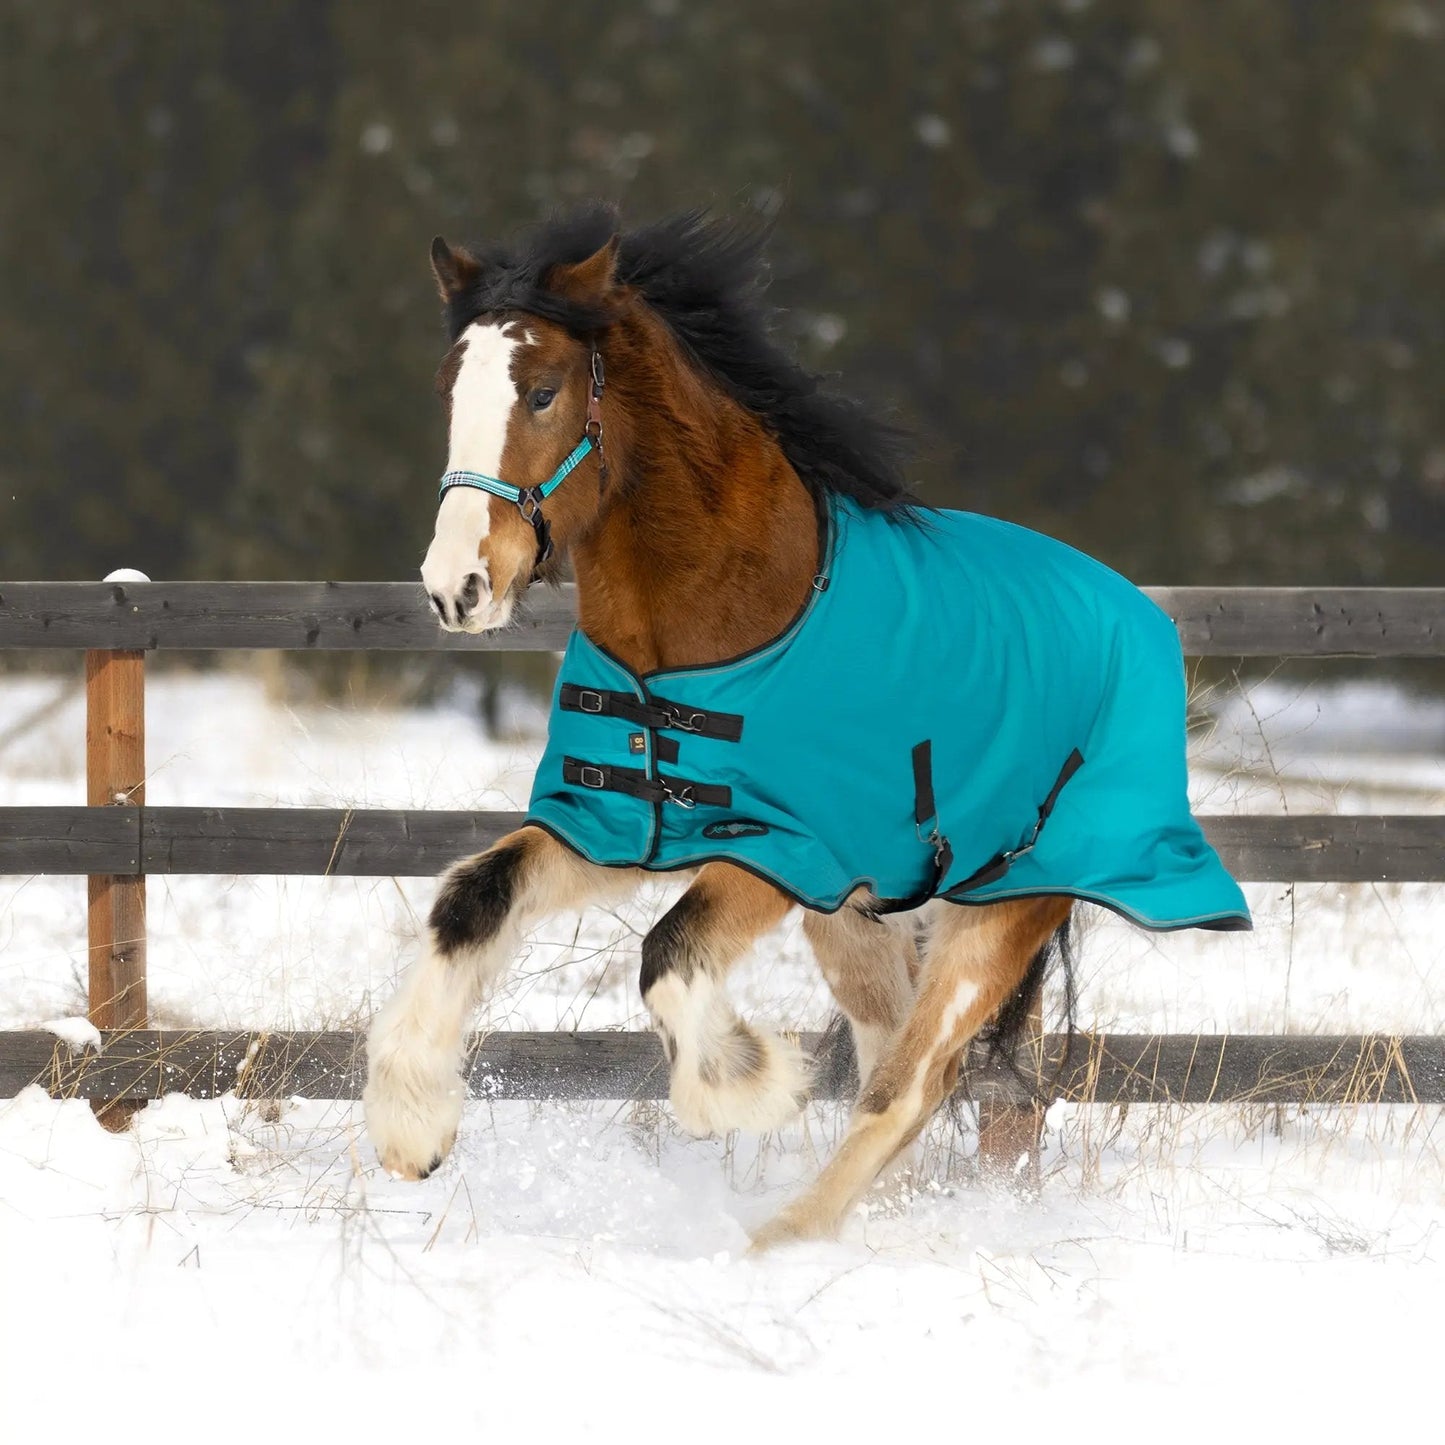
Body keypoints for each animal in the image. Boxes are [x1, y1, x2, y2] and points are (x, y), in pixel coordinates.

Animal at [362, 206, 1250, 1249]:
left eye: (542, 393)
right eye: (447, 389)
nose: (456, 586)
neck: (721, 620)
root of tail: (1136, 614)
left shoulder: (780, 847)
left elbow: (669, 958)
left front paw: (748, 1082)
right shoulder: (614, 825)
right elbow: (472, 900)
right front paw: (410, 1128)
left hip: (1007, 899)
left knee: (909, 1084)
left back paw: (780, 1241)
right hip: (863, 913)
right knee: (903, 1057)